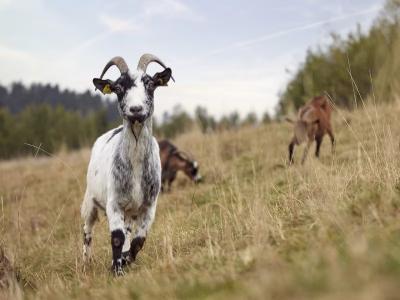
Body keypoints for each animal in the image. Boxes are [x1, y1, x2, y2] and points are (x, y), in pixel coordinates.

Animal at [81, 53, 173, 274]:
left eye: (150, 83)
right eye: (118, 88)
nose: (136, 109)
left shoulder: (149, 206)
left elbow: (138, 241)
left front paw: (125, 261)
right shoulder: (114, 203)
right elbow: (117, 237)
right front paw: (116, 270)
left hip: (130, 211)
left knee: (129, 232)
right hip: (90, 200)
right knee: (87, 230)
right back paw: (85, 263)